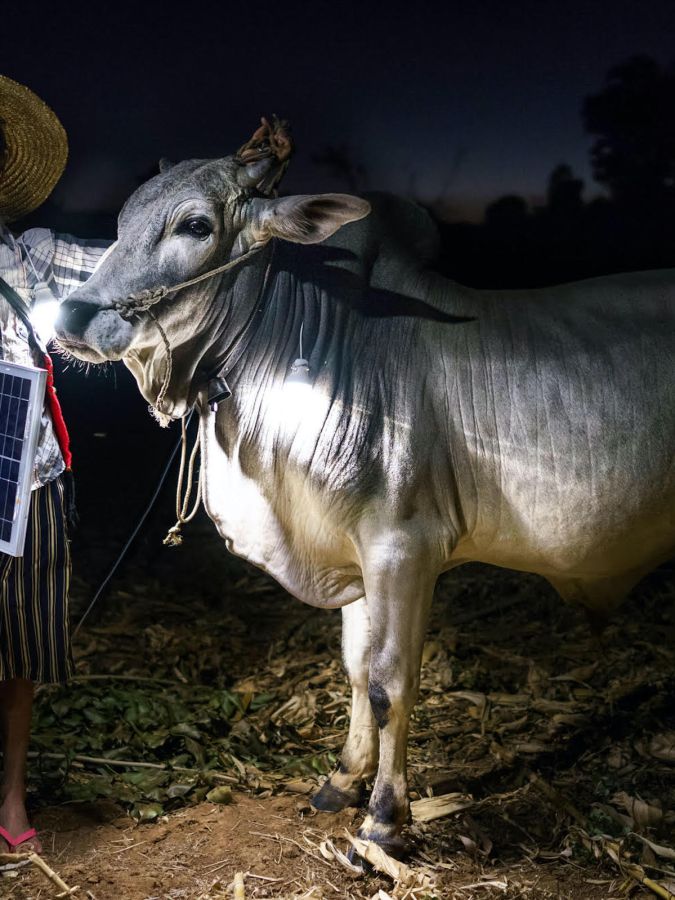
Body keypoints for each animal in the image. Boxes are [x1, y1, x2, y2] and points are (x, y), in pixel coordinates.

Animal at [56, 146, 675, 852]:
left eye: (195, 225)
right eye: (123, 219)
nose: (72, 316)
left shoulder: (403, 549)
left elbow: (389, 681)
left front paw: (384, 816)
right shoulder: (353, 552)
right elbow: (354, 668)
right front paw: (343, 779)